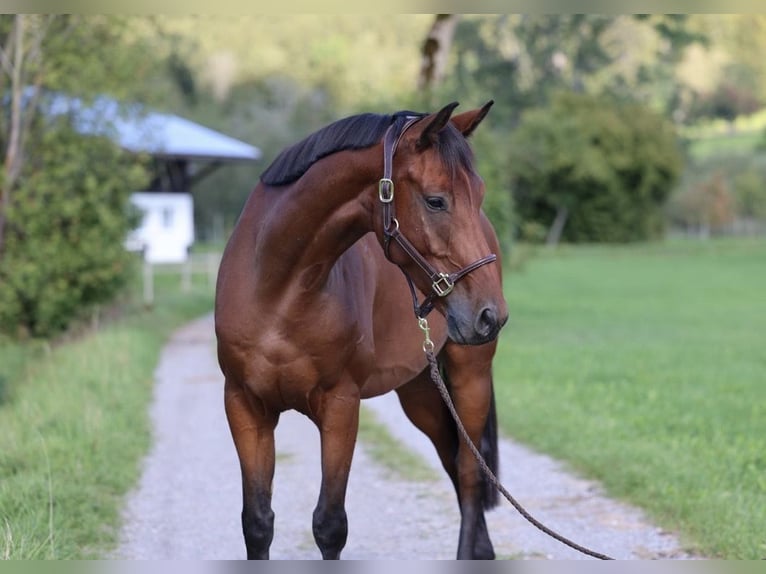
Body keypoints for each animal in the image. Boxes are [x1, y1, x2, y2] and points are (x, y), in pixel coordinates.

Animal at [214, 100, 509, 560]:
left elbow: (330, 525)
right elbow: (257, 523)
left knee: (468, 470)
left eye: (478, 195)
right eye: (436, 201)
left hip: (469, 375)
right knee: (453, 459)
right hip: (420, 391)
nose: (490, 314)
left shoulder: (340, 406)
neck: (278, 290)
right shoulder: (244, 406)